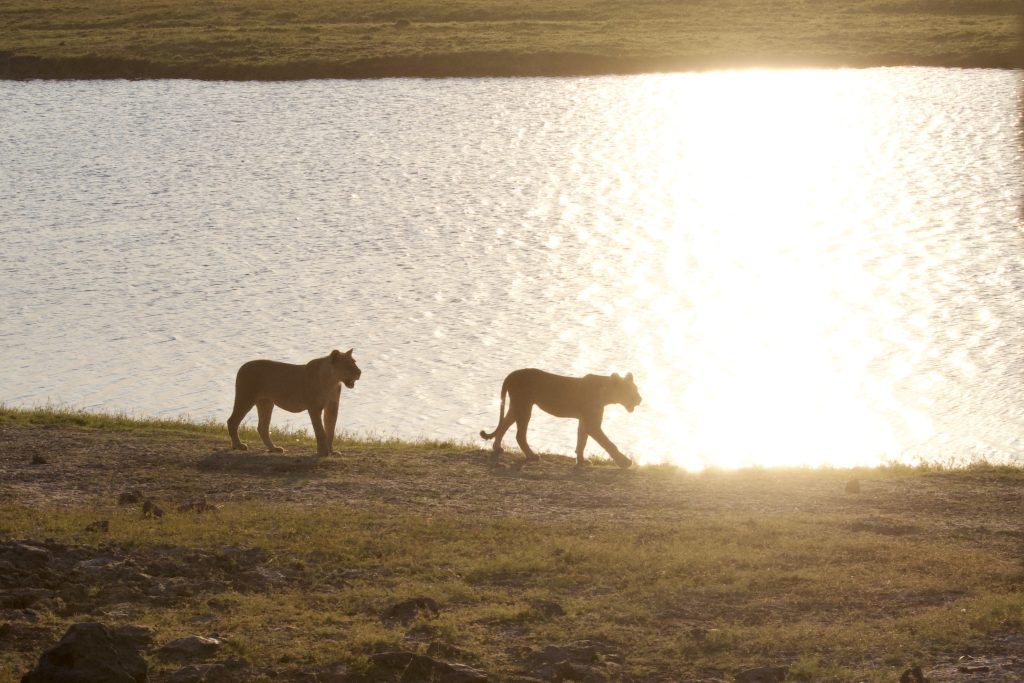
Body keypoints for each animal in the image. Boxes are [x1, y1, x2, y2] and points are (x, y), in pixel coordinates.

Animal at [227, 349, 361, 457]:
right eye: (348, 364)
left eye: (354, 362)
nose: (359, 372)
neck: (332, 381)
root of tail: (242, 366)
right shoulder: (314, 408)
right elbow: (320, 431)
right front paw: (323, 452)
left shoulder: (332, 407)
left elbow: (330, 430)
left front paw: (332, 452)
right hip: (245, 398)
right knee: (232, 421)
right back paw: (238, 445)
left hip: (266, 403)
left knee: (262, 427)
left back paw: (274, 449)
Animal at [479, 368, 641, 468]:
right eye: (630, 391)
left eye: (636, 389)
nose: (640, 399)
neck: (607, 393)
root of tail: (512, 374)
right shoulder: (592, 424)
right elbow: (608, 443)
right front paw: (625, 462)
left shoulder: (584, 421)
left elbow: (581, 442)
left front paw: (581, 461)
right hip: (524, 407)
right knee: (519, 435)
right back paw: (532, 456)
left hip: (517, 406)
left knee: (504, 424)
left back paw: (497, 447)